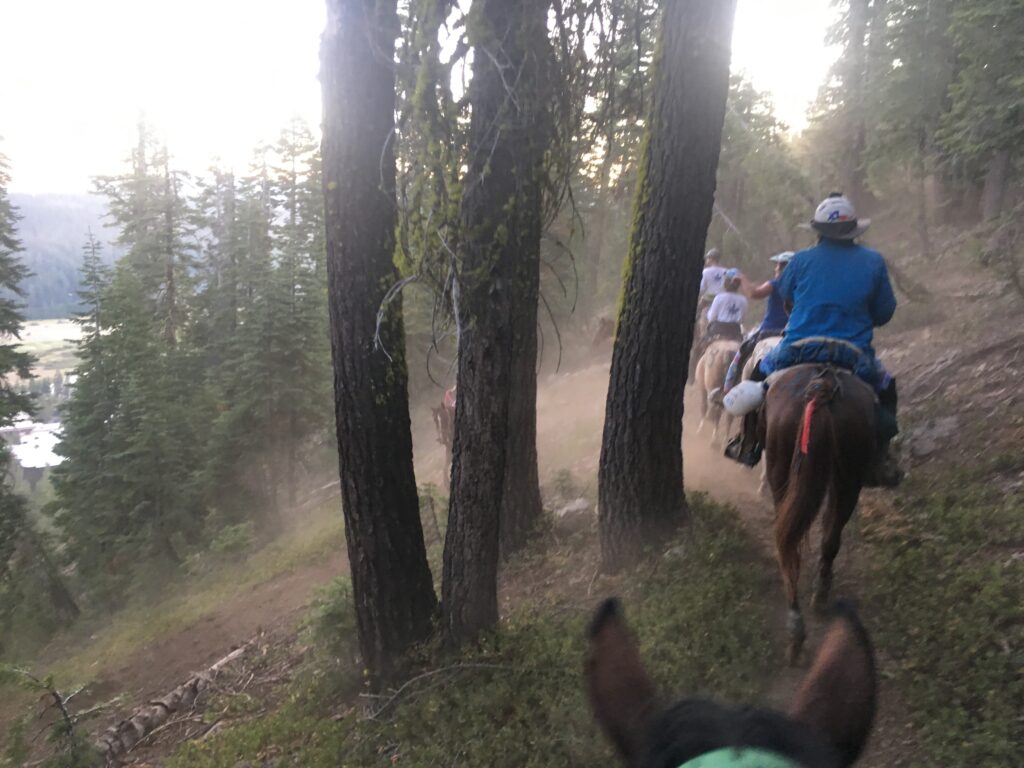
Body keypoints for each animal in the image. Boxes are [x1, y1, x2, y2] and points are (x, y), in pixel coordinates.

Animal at [765, 364, 876, 663]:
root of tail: (821, 387)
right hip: (847, 477)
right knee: (828, 537)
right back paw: (815, 600)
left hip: (784, 470)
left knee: (790, 546)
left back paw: (797, 626)